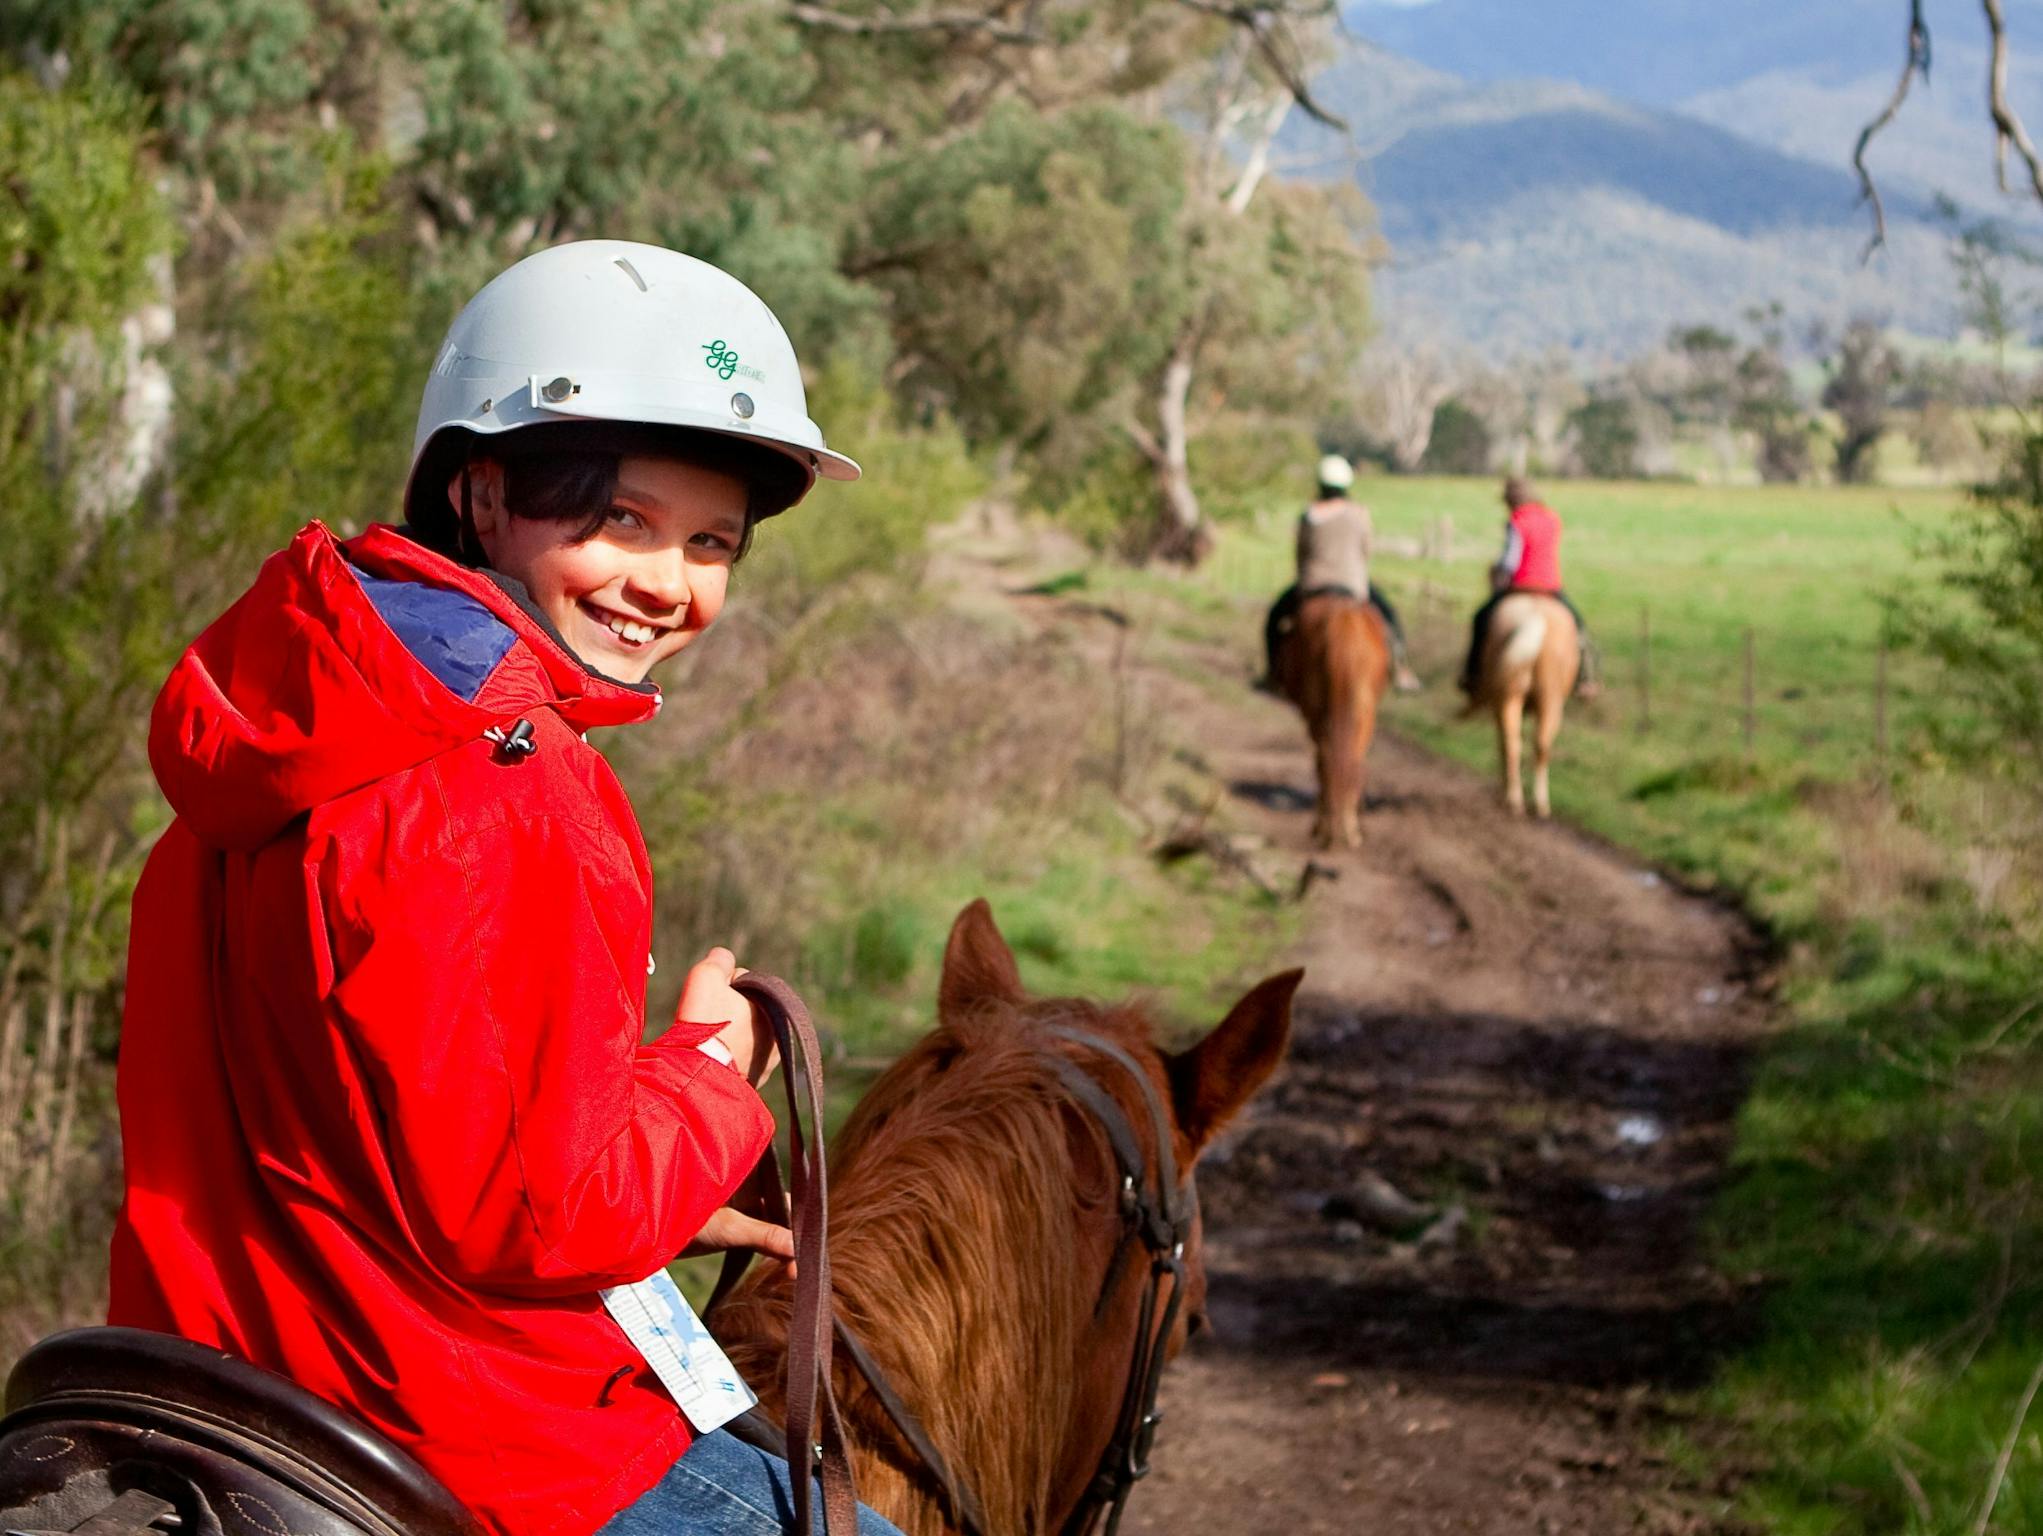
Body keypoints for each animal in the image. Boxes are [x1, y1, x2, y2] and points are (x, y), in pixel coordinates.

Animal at [1266, 592, 1397, 853]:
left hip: (1326, 710)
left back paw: (1330, 829)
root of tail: (1343, 621)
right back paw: (1343, 829)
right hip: (1360, 711)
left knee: (1330, 760)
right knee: (1347, 761)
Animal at [1470, 592, 1577, 821]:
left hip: (1511, 697)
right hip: (1548, 700)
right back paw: (1537, 803)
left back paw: (1513, 798)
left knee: (1513, 743)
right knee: (1539, 745)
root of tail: (1535, 618)